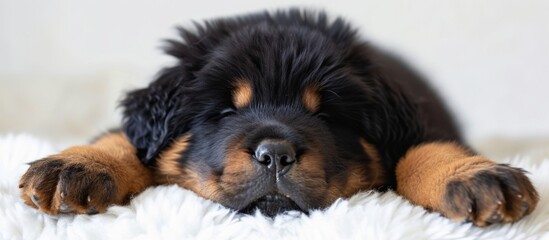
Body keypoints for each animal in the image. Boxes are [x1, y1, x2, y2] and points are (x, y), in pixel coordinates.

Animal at [19, 9, 536, 227]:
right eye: (226, 110)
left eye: (325, 114)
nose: (275, 155)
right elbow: (123, 138)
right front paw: (75, 166)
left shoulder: (418, 128)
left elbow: (425, 148)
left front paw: (475, 177)